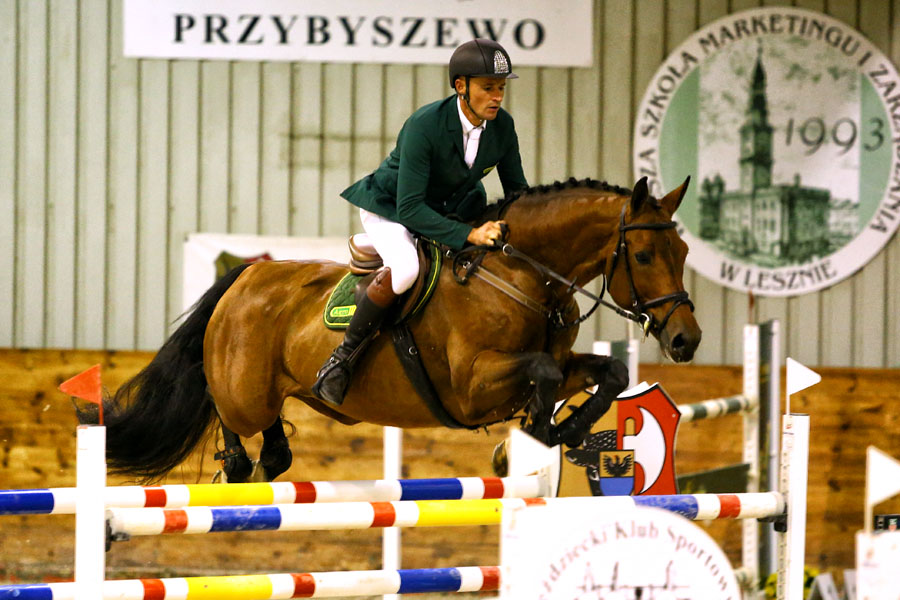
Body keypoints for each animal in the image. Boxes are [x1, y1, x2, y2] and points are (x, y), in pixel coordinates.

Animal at [78, 176, 701, 483]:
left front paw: (560, 431)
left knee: (270, 440)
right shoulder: (473, 386)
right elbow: (544, 372)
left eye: (685, 251)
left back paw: (272, 458)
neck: (522, 274)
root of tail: (245, 277)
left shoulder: (557, 365)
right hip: (244, 391)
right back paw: (238, 463)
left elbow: (610, 372)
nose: (685, 340)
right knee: (226, 411)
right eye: (644, 255)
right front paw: (525, 440)